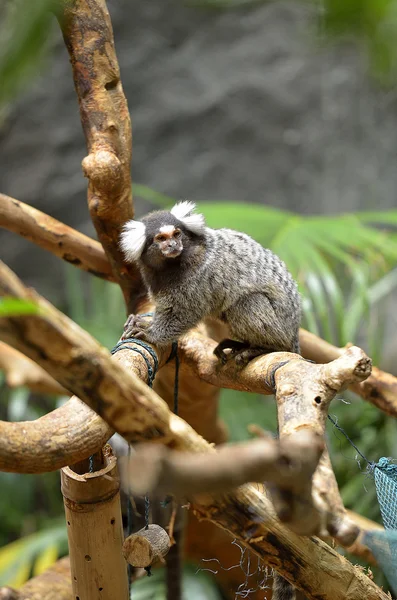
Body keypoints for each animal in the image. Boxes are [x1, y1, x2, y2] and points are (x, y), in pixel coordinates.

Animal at [119, 200, 298, 366]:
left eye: (176, 234)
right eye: (161, 238)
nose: (173, 245)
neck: (170, 265)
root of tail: (294, 332)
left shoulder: (196, 276)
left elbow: (183, 313)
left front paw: (151, 333)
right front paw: (144, 321)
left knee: (248, 302)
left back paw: (265, 347)